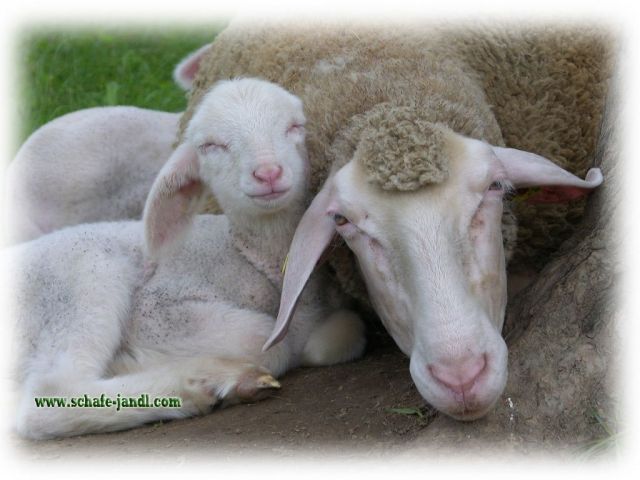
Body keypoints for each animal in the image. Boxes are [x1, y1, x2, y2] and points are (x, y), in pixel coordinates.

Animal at [6, 77, 366, 440]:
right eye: (211, 145)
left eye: (295, 126)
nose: (268, 173)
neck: (248, 257)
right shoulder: (157, 307)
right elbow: (268, 338)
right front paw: (134, 358)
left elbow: (344, 333)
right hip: (81, 279)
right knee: (48, 395)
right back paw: (204, 383)